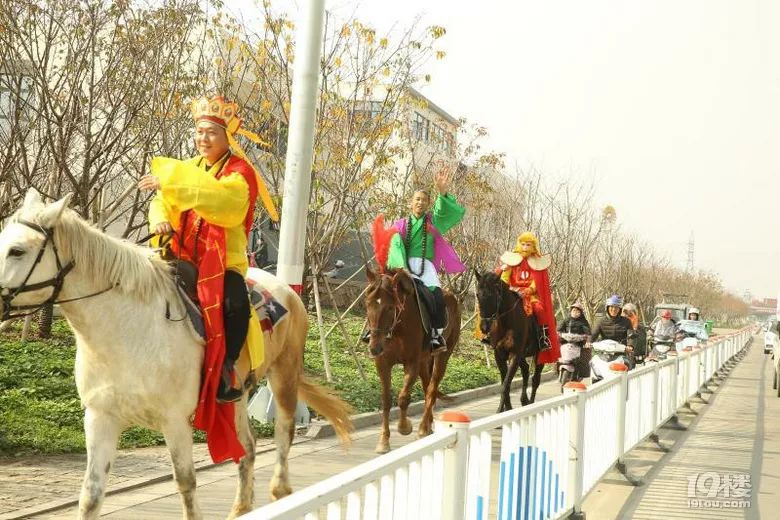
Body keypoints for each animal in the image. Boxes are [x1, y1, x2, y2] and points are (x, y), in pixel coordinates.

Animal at [0, 190, 354, 516]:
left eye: (17, 250)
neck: (126, 331)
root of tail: (286, 291)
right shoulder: (101, 417)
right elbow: (91, 495)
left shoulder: (174, 421)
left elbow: (186, 483)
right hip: (238, 395)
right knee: (249, 447)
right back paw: (240, 508)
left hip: (284, 373)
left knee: (283, 433)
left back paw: (280, 490)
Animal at [362, 270, 460, 452]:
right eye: (367, 304)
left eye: (390, 307)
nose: (374, 348)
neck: (397, 329)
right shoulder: (383, 364)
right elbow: (386, 400)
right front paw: (383, 441)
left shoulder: (411, 364)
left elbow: (403, 398)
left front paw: (404, 427)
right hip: (424, 361)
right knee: (427, 387)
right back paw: (427, 426)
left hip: (443, 356)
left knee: (432, 389)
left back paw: (422, 428)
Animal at [472, 270, 544, 412]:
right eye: (477, 294)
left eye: (492, 295)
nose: (484, 327)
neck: (507, 323)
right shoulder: (499, 355)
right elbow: (505, 383)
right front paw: (506, 409)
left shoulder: (514, 354)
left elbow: (505, 384)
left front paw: (502, 411)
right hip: (522, 355)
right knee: (526, 370)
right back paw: (524, 400)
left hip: (539, 354)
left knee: (535, 379)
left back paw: (531, 402)